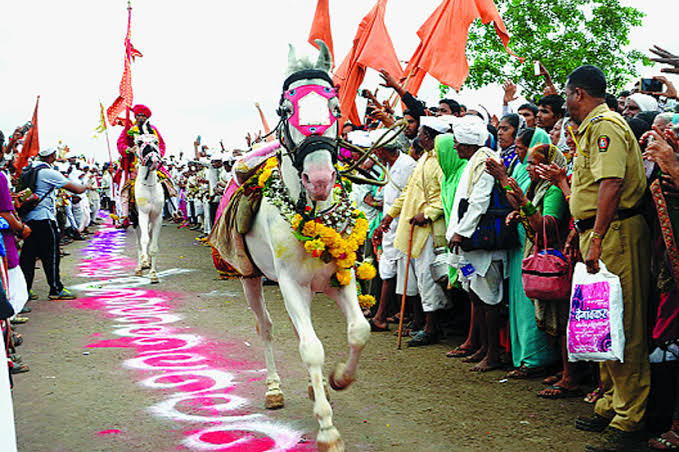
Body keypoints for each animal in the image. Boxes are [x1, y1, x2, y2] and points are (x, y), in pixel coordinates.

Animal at [240, 43, 370, 452]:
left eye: (336, 107)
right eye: (286, 109)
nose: (320, 179)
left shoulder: (339, 276)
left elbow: (359, 331)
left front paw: (339, 378)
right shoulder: (288, 283)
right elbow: (311, 347)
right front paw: (327, 431)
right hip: (250, 277)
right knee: (265, 327)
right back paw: (274, 389)